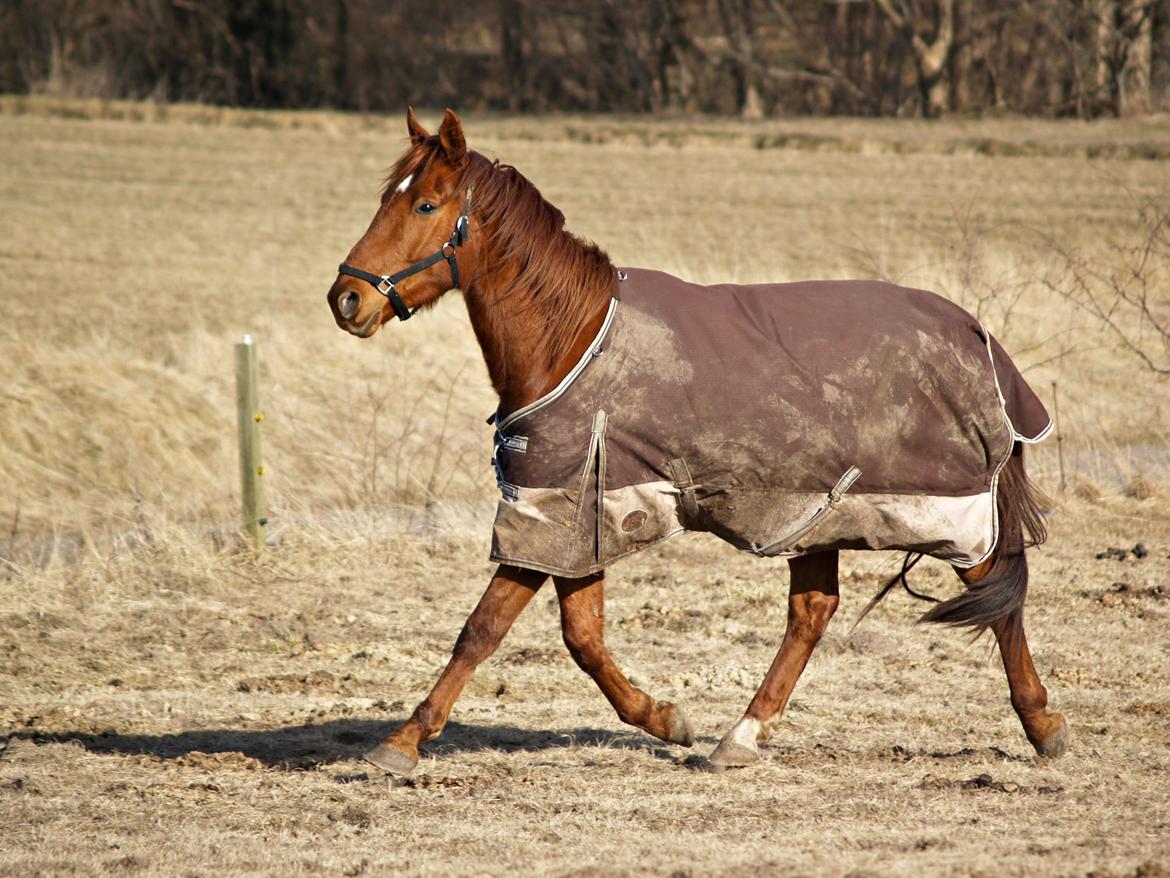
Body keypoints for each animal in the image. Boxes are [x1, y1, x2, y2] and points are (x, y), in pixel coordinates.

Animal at [322, 110, 1071, 777]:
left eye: (424, 203)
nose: (346, 300)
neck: (571, 341)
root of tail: (977, 337)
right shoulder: (578, 517)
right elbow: (579, 635)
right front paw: (665, 719)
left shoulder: (553, 514)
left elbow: (485, 627)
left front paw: (403, 741)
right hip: (818, 513)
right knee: (812, 613)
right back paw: (740, 737)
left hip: (946, 513)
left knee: (995, 598)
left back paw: (1043, 725)